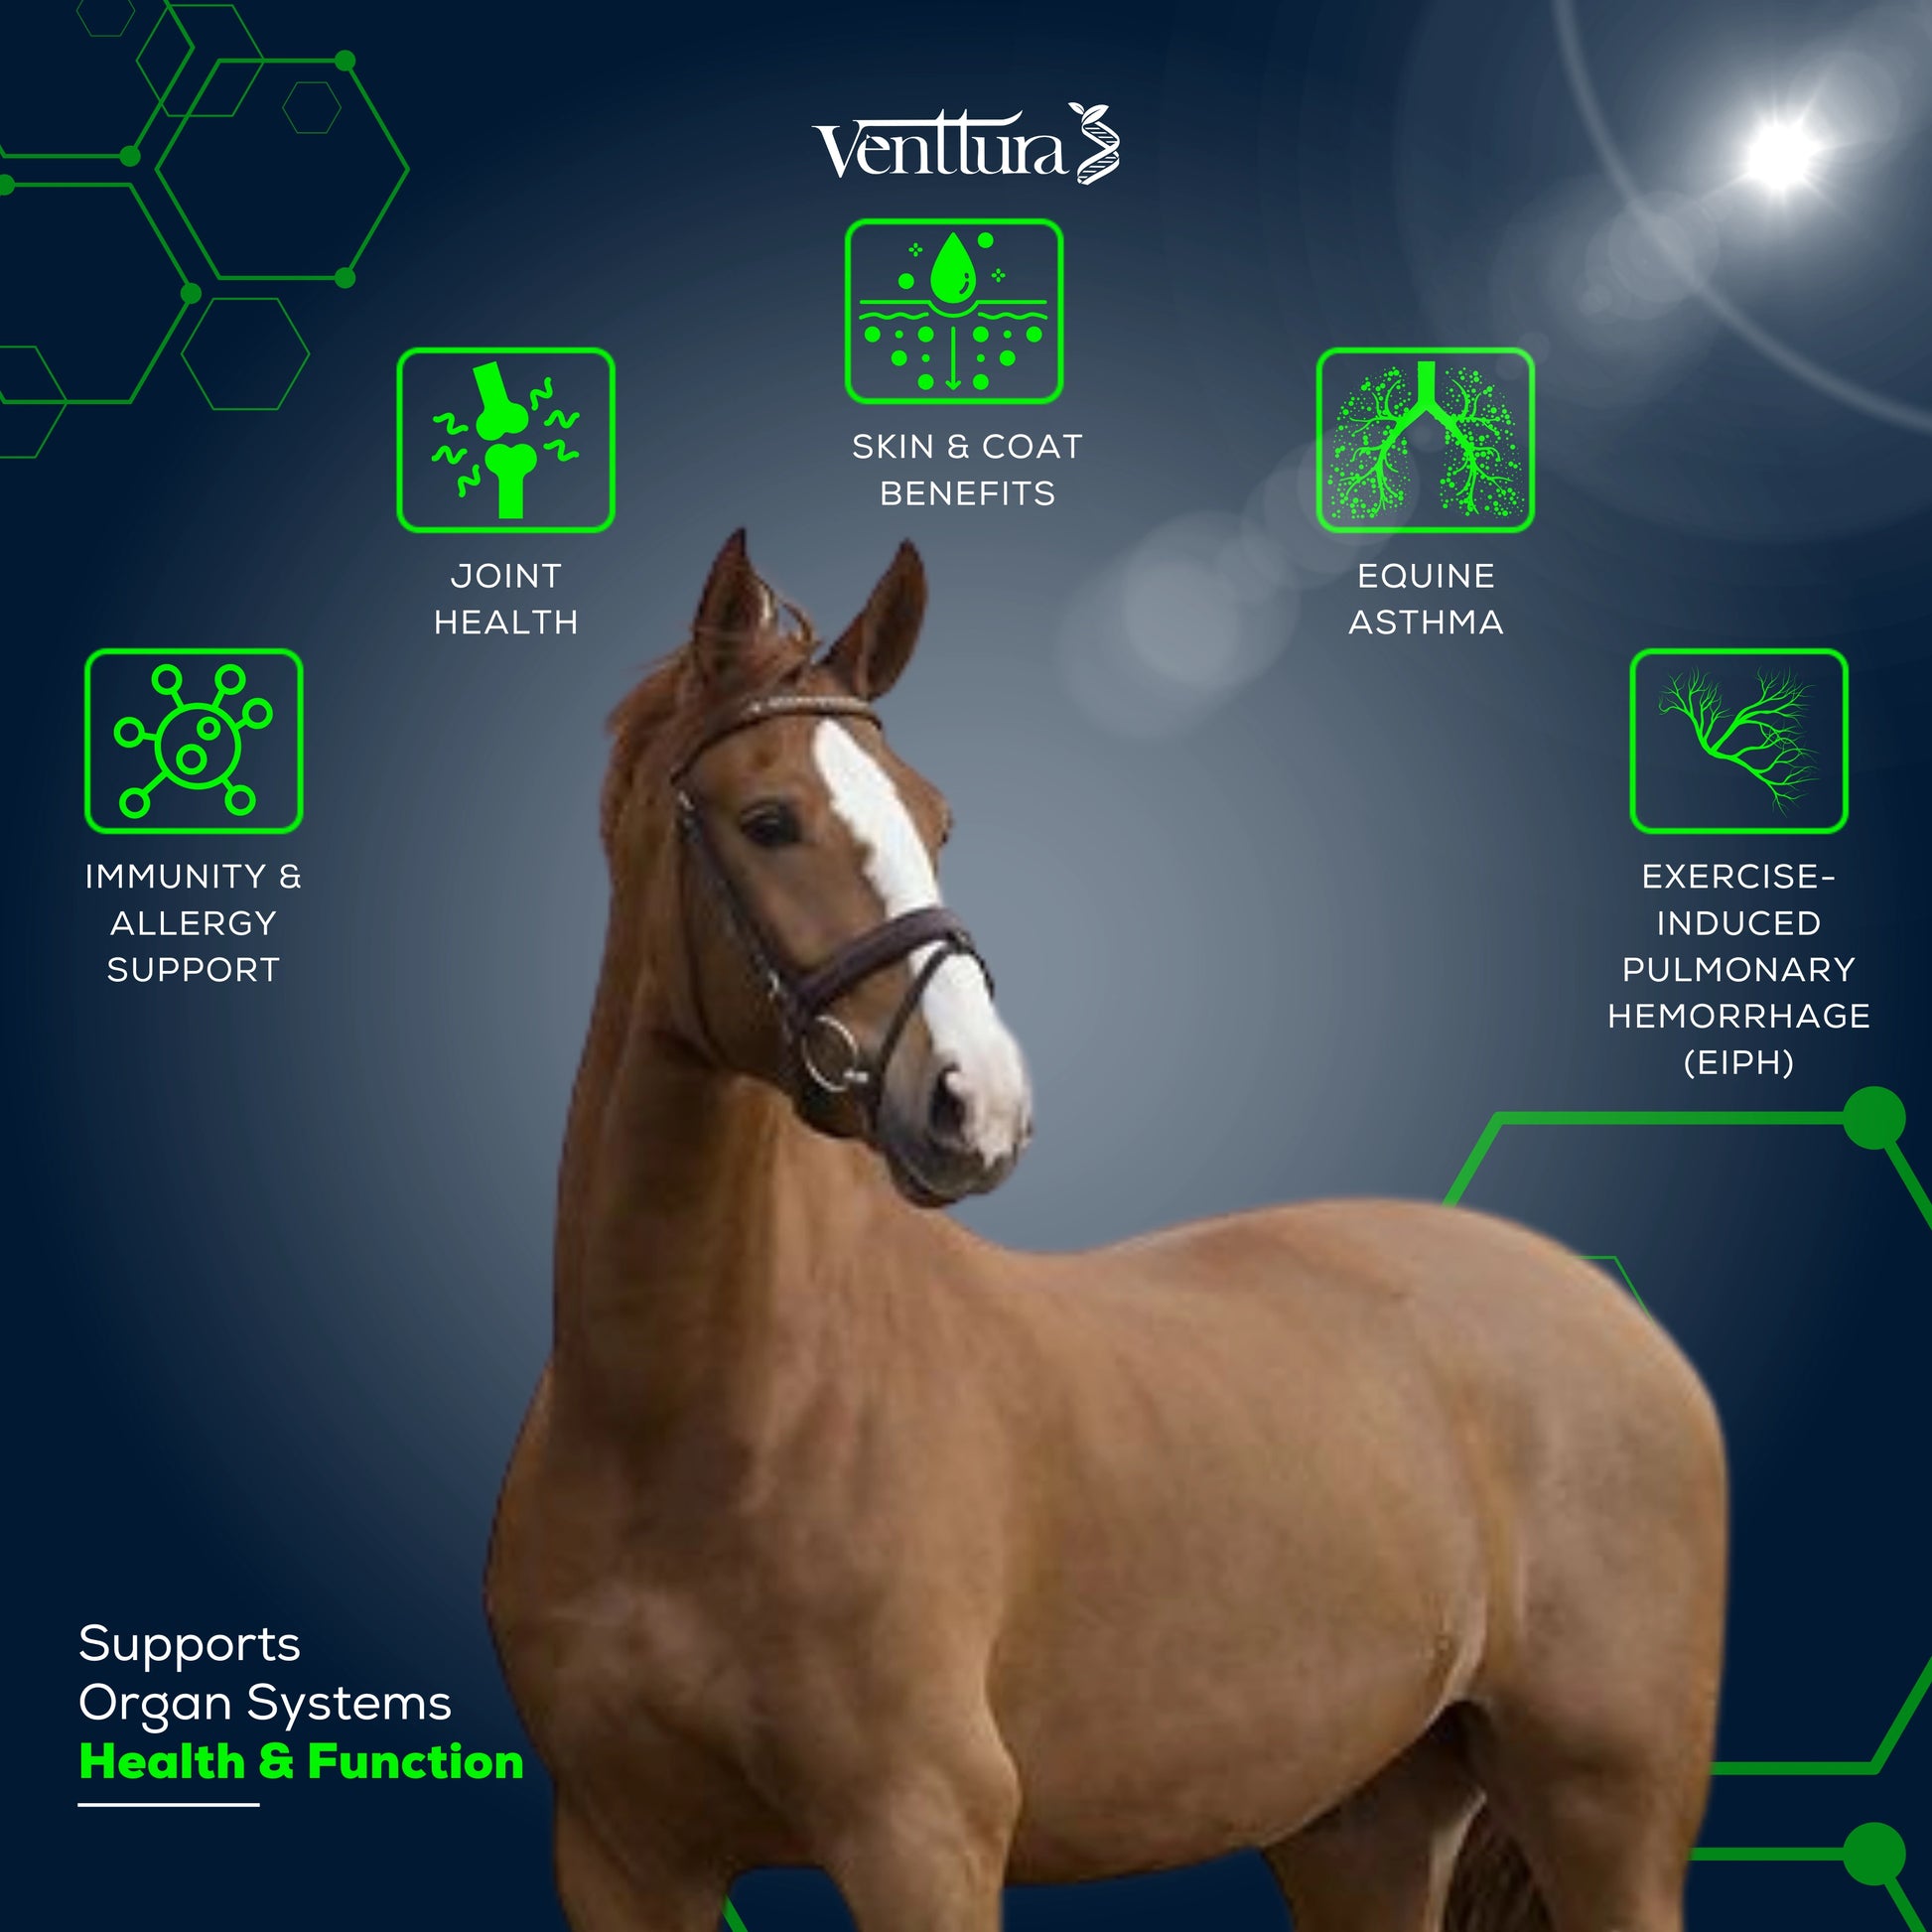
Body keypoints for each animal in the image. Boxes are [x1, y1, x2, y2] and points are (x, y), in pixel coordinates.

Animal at [486, 531, 1727, 1932]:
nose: (974, 1099)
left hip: (1605, 1811)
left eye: (934, 818)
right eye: (769, 820)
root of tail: (1606, 1308)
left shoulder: (921, 1835)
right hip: (1363, 1821)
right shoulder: (618, 1857)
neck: (698, 1419)